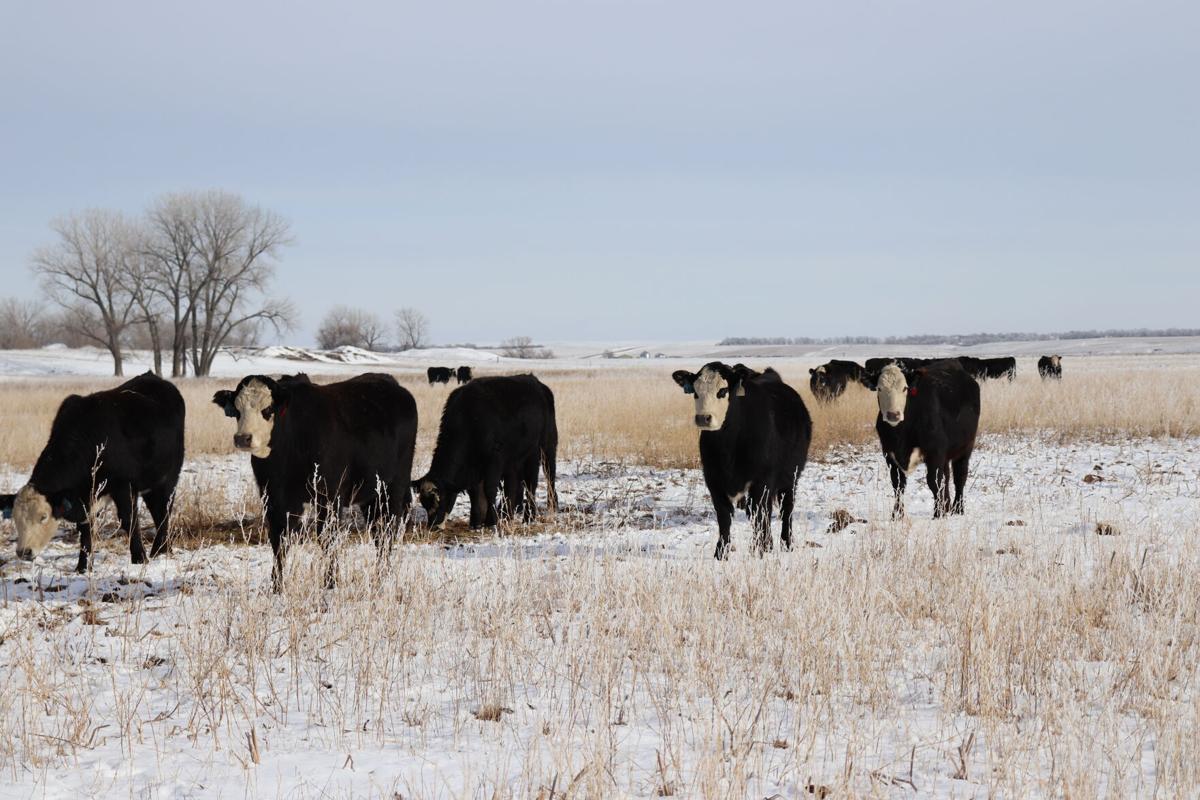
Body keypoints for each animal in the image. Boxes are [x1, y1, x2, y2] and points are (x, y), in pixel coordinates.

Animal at [0, 372, 184, 572]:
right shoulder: (84, 498)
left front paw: (139, 559)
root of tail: (153, 378)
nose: (23, 552)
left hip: (168, 479)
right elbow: (85, 529)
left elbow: (129, 520)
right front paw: (83, 567)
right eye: (15, 518)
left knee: (163, 512)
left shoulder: (123, 485)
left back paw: (160, 551)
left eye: (43, 517)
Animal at [212, 372, 417, 588]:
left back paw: (383, 576)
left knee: (387, 530)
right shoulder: (274, 497)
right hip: (371, 495)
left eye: (267, 409)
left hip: (394, 487)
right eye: (237, 411)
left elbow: (327, 538)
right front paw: (276, 586)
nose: (243, 438)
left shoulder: (330, 496)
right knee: (378, 532)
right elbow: (279, 539)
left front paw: (330, 583)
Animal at [413, 375, 558, 530]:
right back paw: (507, 515)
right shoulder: (475, 468)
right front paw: (476, 522)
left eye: (439, 499)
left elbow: (489, 490)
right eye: (424, 503)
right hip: (515, 460)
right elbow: (475, 492)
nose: (433, 526)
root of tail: (536, 382)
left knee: (540, 479)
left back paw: (537, 513)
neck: (469, 418)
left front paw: (491, 521)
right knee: (513, 485)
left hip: (543, 449)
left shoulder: (494, 461)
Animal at [671, 362, 812, 559]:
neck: (727, 445)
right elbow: (724, 516)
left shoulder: (762, 480)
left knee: (786, 509)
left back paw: (786, 544)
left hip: (790, 477)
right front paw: (721, 553)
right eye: (695, 392)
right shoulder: (713, 480)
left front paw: (759, 550)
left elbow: (759, 515)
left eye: (722, 391)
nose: (703, 418)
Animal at [863, 359, 980, 518]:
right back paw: (947, 506)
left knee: (959, 478)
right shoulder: (890, 455)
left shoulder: (934, 452)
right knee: (947, 477)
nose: (893, 414)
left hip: (965, 448)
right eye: (879, 388)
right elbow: (898, 485)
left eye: (905, 388)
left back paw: (958, 509)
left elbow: (933, 482)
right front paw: (897, 515)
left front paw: (938, 514)